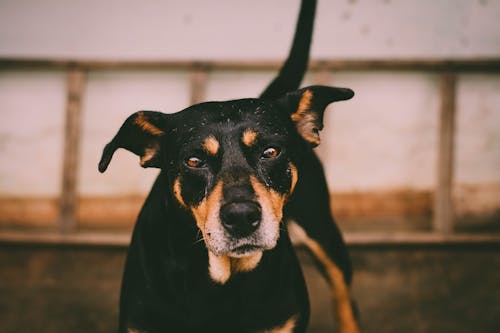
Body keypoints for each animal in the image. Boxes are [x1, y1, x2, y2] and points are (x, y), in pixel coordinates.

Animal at [98, 1, 360, 330]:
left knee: (345, 299)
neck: (222, 281)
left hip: (322, 229)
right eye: (194, 160)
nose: (242, 216)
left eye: (271, 151)